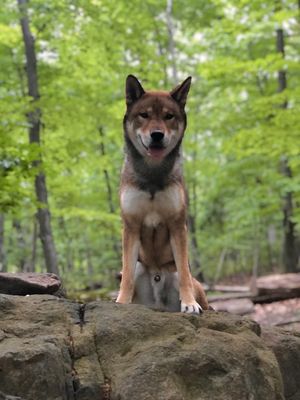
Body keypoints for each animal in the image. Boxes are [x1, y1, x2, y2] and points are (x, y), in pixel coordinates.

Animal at [115, 74, 209, 312]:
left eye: (168, 116)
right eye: (144, 115)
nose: (156, 135)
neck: (152, 175)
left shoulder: (177, 224)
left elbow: (184, 272)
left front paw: (189, 303)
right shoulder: (131, 226)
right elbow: (126, 275)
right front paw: (121, 302)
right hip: (141, 267)